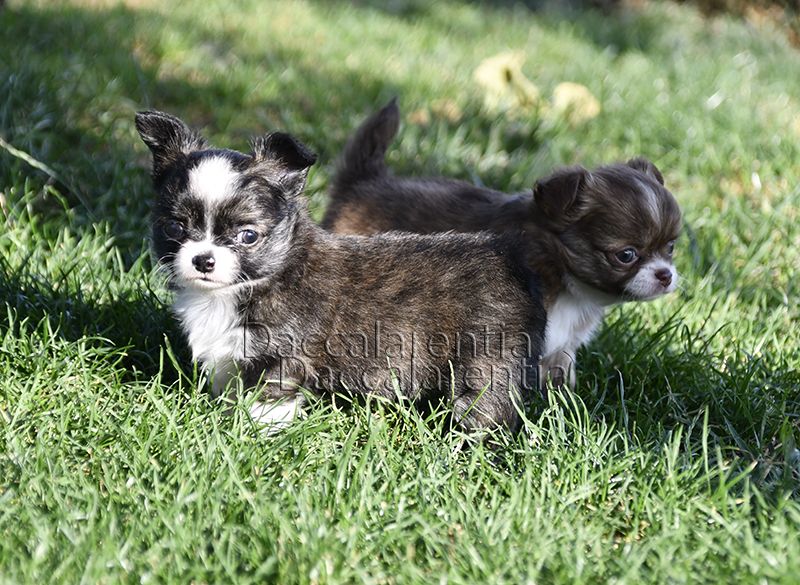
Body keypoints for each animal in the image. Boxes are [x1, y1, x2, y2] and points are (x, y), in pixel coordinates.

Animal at [135, 110, 547, 434]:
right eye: (174, 228)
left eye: (247, 235)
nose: (203, 260)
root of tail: (506, 253)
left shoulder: (283, 356)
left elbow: (269, 400)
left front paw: (252, 434)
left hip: (486, 362)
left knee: (485, 407)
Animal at [323, 99, 682, 387]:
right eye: (626, 255)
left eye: (671, 247)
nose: (666, 275)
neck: (563, 276)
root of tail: (362, 183)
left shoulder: (562, 347)